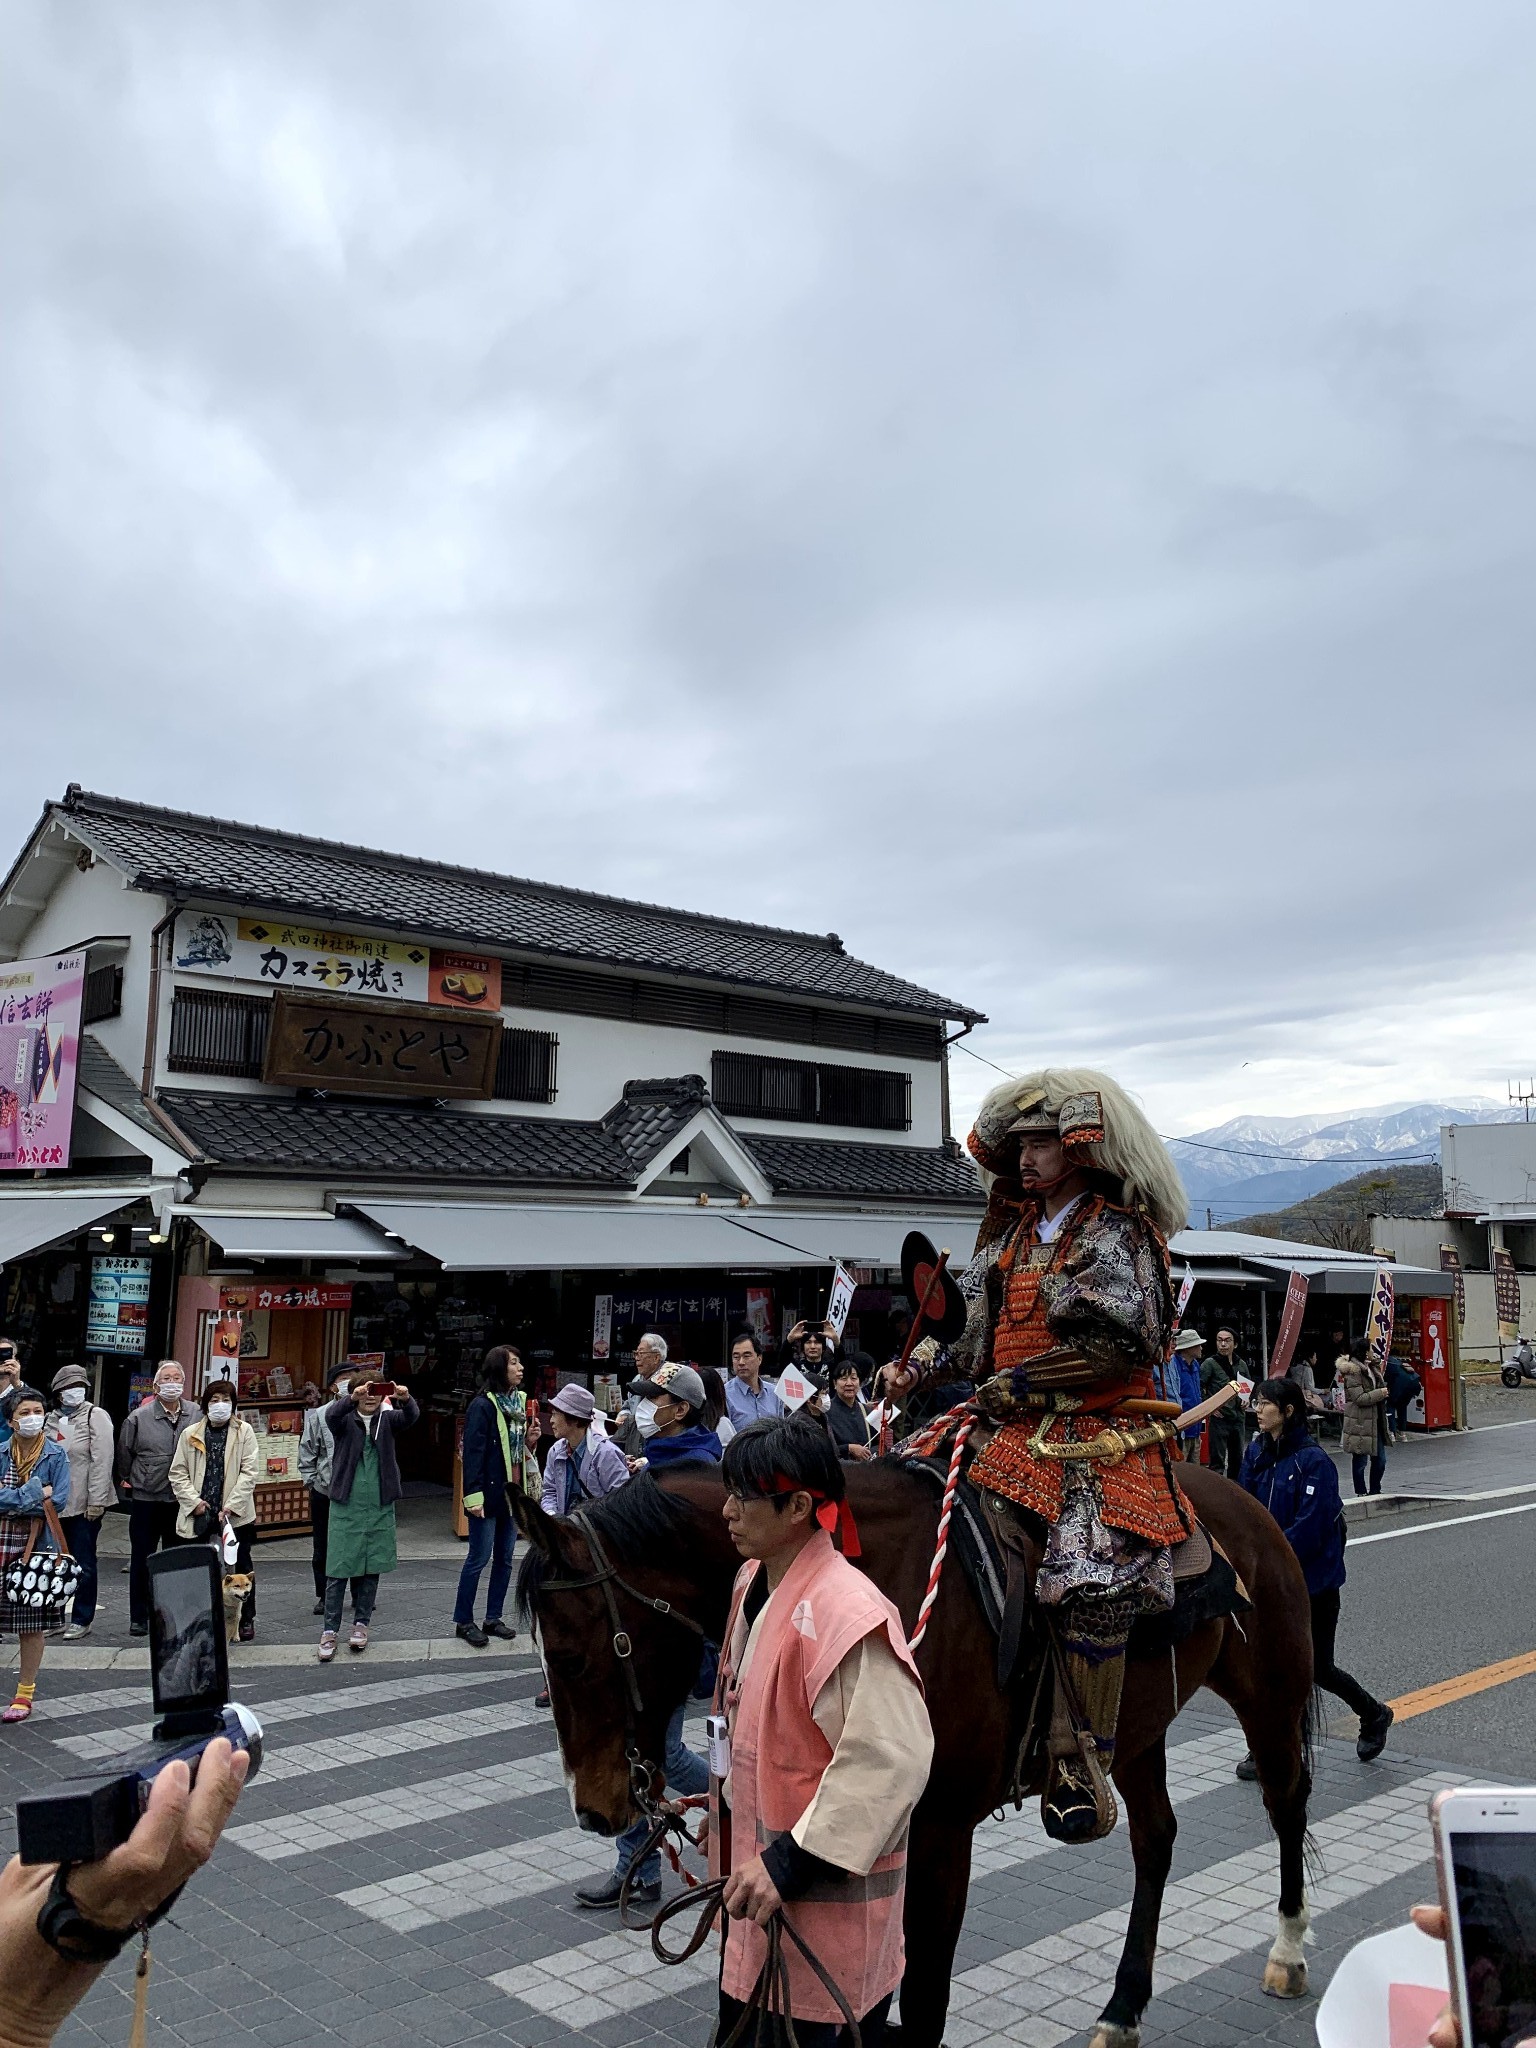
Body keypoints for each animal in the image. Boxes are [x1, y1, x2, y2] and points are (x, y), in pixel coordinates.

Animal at [512, 1458, 1318, 2048]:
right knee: (1156, 1840)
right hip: (1135, 1732)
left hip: (1270, 1692)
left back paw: (1287, 1951)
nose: (595, 1809)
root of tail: (1241, 1496)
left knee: (1287, 1802)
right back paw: (1123, 2007)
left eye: (573, 1659)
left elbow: (924, 1997)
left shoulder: (938, 1830)